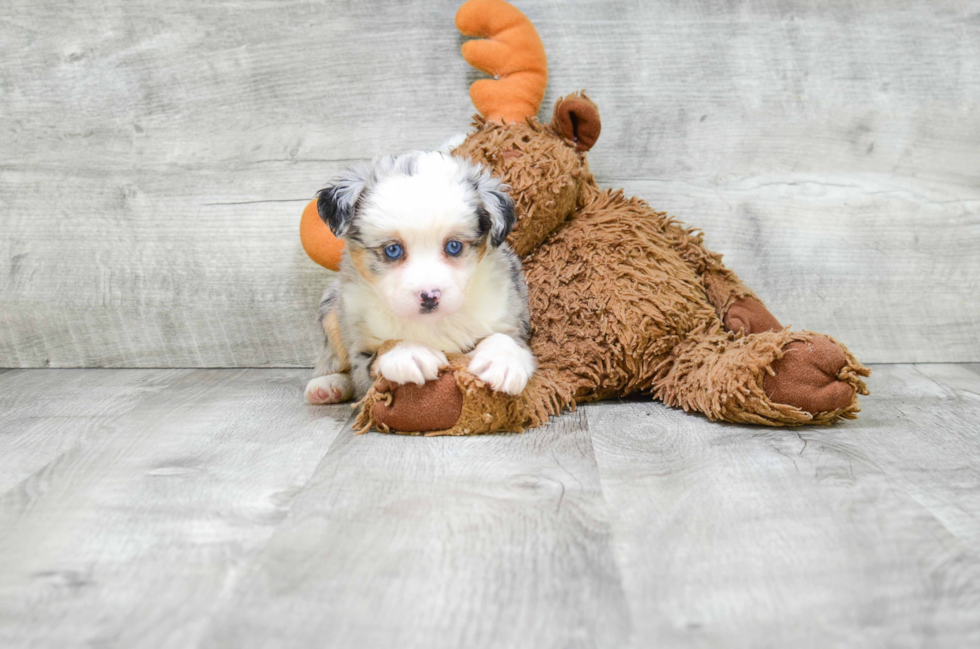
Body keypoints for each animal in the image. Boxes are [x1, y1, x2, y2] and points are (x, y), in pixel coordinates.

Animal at [306, 152, 536, 404]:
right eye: (393, 250)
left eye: (454, 246)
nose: (430, 296)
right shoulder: (360, 349)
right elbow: (381, 350)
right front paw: (408, 352)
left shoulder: (511, 314)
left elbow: (505, 338)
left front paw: (502, 361)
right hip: (331, 310)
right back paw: (327, 385)